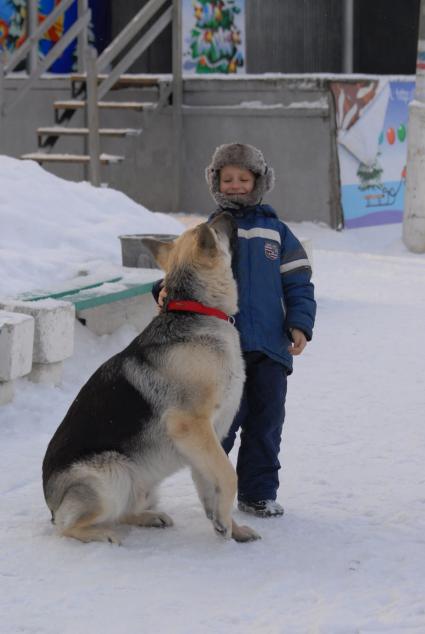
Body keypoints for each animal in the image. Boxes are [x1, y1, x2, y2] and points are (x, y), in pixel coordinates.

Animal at [44, 212, 262, 544]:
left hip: (141, 483)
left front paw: (228, 526)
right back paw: (102, 534)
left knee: (125, 511)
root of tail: (51, 504)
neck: (195, 309)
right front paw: (225, 522)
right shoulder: (192, 426)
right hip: (112, 474)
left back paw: (148, 517)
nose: (226, 213)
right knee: (67, 527)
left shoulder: (204, 438)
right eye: (216, 228)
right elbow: (227, 474)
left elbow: (212, 483)